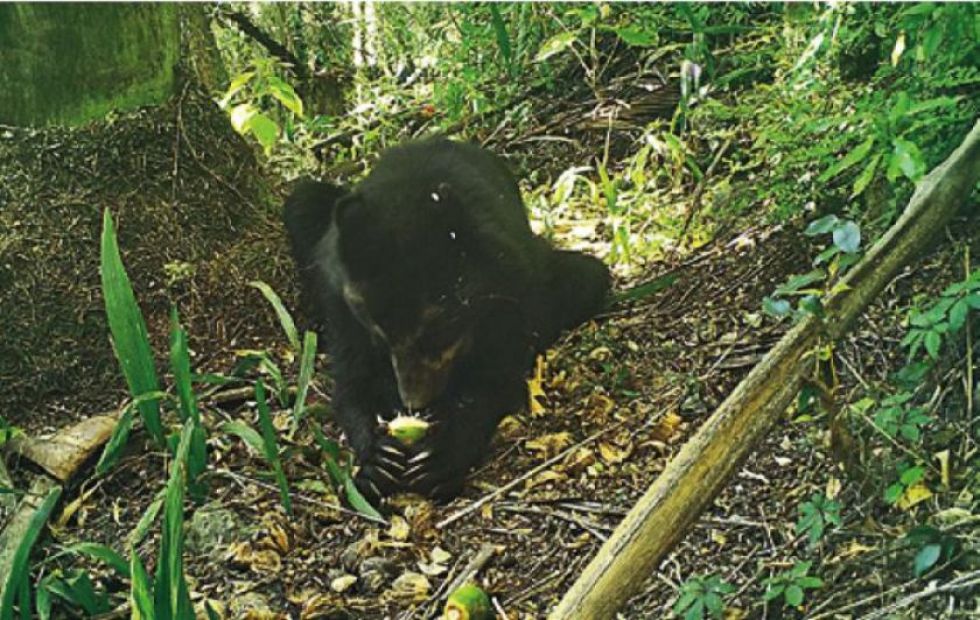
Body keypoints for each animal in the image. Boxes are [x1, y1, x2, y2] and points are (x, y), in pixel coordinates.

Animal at [284, 137, 610, 502]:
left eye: (437, 330)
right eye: (380, 334)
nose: (416, 403)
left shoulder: (514, 288)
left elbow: (498, 376)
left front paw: (440, 457)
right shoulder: (341, 301)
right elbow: (350, 380)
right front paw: (379, 460)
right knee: (303, 199)